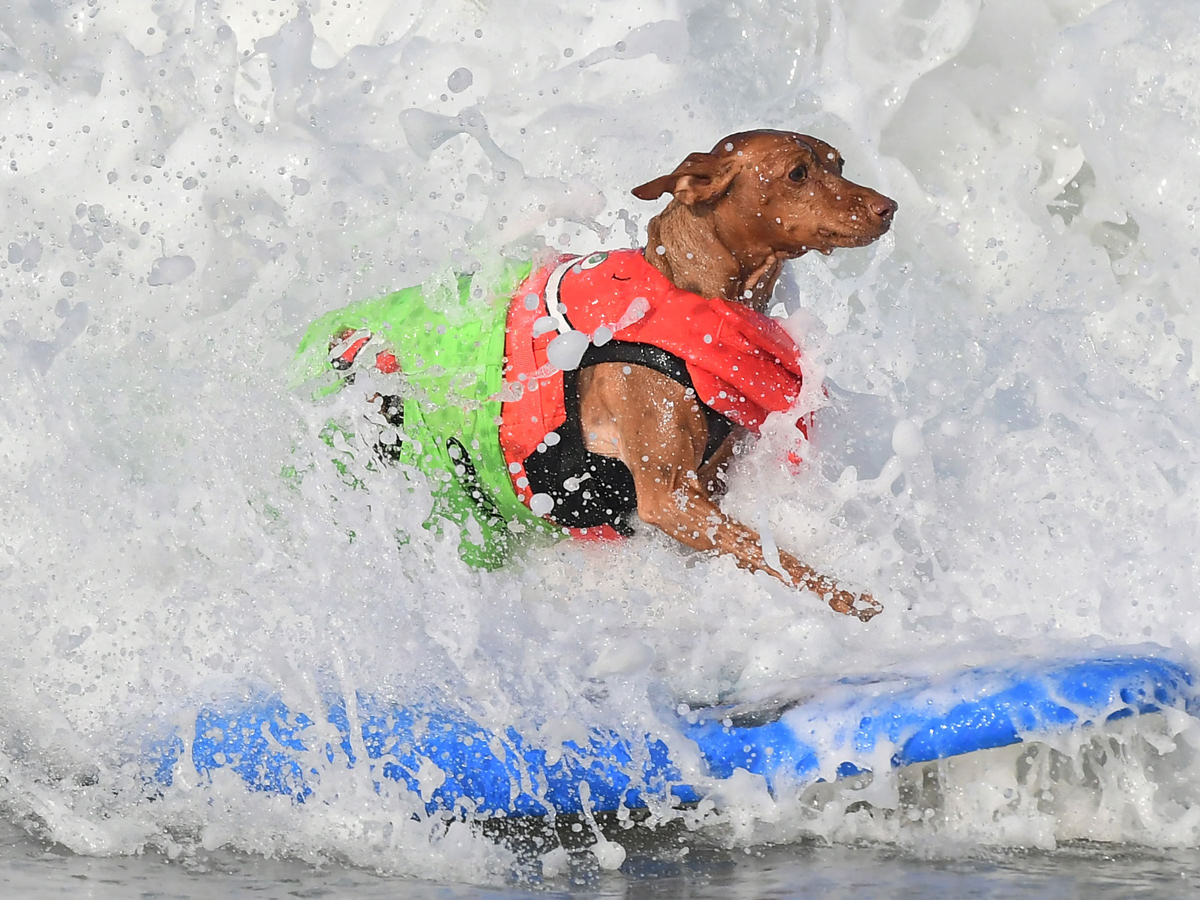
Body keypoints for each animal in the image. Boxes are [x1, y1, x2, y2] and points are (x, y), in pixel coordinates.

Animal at [576, 130, 897, 624]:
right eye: (798, 173)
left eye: (839, 163)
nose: (889, 207)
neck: (701, 302)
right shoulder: (670, 499)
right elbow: (774, 556)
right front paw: (846, 599)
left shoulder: (711, 479)